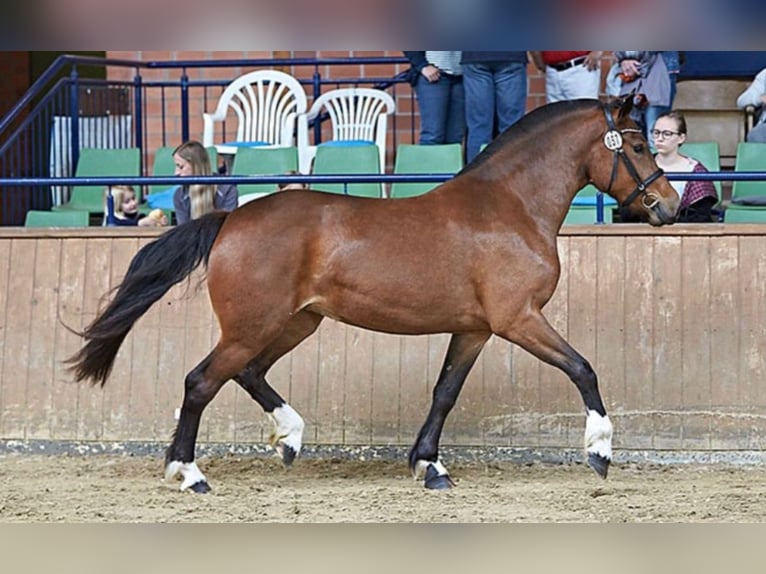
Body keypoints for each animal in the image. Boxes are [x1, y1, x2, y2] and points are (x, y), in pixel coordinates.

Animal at [64, 97, 680, 492]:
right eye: (638, 144)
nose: (670, 207)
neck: (510, 207)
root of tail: (230, 219)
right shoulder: (517, 319)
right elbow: (583, 368)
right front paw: (600, 450)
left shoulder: (475, 328)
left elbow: (444, 393)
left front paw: (429, 467)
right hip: (254, 325)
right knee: (200, 382)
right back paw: (189, 473)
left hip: (296, 322)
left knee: (247, 373)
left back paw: (289, 438)